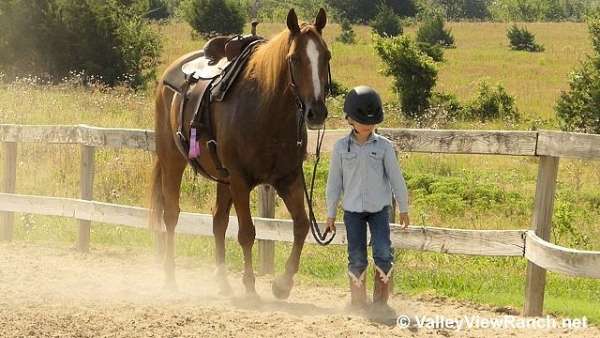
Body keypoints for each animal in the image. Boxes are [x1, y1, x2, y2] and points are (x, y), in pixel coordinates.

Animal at [148, 8, 330, 298]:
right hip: (173, 161)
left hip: (223, 178)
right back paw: (170, 278)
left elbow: (301, 226)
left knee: (218, 221)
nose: (316, 112)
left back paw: (222, 281)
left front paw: (282, 284)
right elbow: (247, 233)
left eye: (326, 56)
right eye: (294, 58)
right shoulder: (240, 180)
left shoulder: (288, 178)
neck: (267, 111)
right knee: (172, 214)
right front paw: (250, 287)